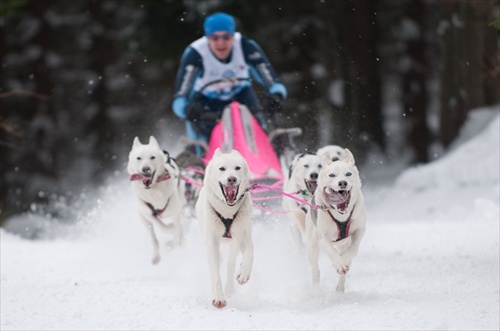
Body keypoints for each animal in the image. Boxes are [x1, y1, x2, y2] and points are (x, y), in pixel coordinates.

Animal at [195, 149, 254, 310]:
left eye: (237, 168)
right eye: (222, 168)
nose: (232, 179)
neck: (227, 211)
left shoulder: (243, 235)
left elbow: (250, 253)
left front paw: (244, 272)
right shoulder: (212, 240)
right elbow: (215, 272)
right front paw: (218, 298)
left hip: (235, 242)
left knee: (231, 263)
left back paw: (230, 286)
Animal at [302, 150, 366, 294]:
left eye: (348, 174)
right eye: (332, 175)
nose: (342, 183)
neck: (341, 215)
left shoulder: (359, 230)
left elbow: (353, 249)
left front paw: (344, 261)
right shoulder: (322, 239)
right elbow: (331, 250)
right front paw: (338, 263)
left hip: (343, 243)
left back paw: (340, 288)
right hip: (312, 248)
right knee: (315, 269)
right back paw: (316, 288)